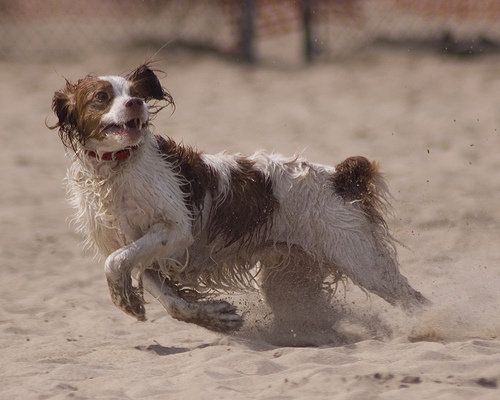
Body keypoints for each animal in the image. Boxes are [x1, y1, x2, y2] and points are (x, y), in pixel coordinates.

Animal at [50, 65, 428, 332]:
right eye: (101, 96)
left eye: (134, 92)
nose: (136, 104)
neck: (116, 169)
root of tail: (340, 176)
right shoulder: (144, 250)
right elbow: (168, 298)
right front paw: (214, 316)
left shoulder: (174, 230)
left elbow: (115, 262)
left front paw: (124, 298)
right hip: (291, 279)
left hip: (362, 259)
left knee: (413, 299)